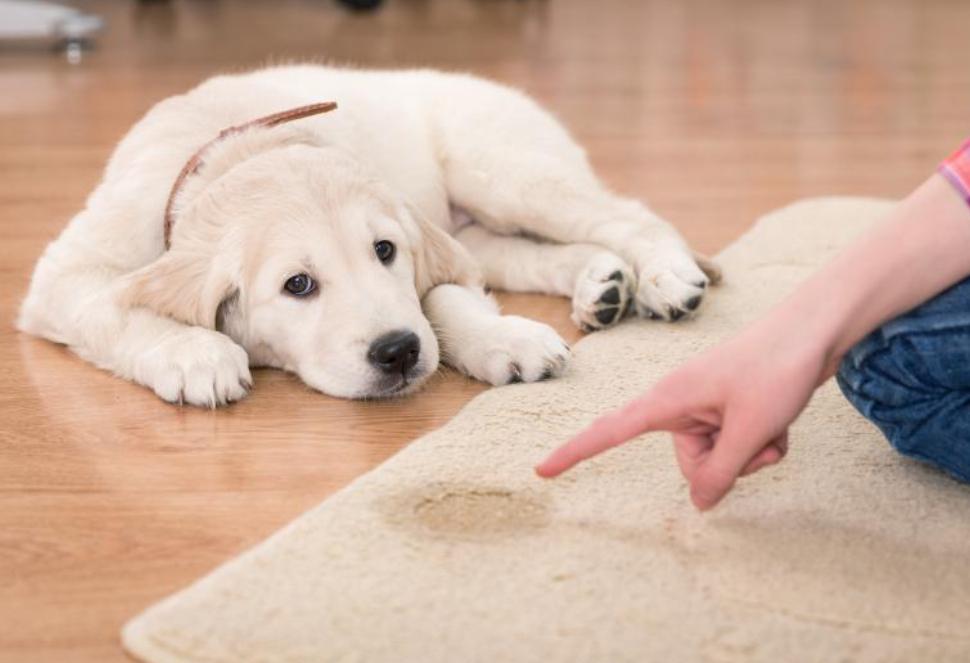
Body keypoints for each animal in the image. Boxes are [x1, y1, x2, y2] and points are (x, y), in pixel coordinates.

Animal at [17, 65, 720, 408]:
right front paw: (196, 355)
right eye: (298, 285)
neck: (236, 149)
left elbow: (442, 298)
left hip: (503, 170)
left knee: (628, 215)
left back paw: (665, 278)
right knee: (532, 254)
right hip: (481, 226)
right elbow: (114, 307)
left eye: (385, 252)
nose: (398, 352)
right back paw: (602, 285)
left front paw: (503, 338)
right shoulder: (67, 274)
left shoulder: (426, 247)